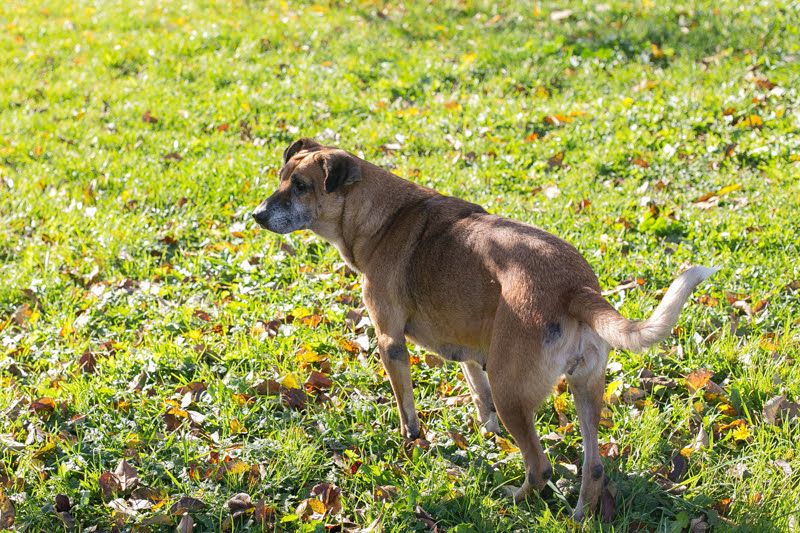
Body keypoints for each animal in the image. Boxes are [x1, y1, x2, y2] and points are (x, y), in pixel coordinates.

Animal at [252, 138, 716, 521]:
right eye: (281, 178)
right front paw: (483, 431)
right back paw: (580, 514)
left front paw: (411, 442)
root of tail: (575, 287)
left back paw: (512, 498)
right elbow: (478, 393)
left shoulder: (390, 342)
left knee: (540, 466)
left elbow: (407, 410)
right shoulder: (469, 351)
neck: (383, 215)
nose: (255, 215)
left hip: (515, 392)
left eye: (301, 186)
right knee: (594, 465)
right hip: (587, 388)